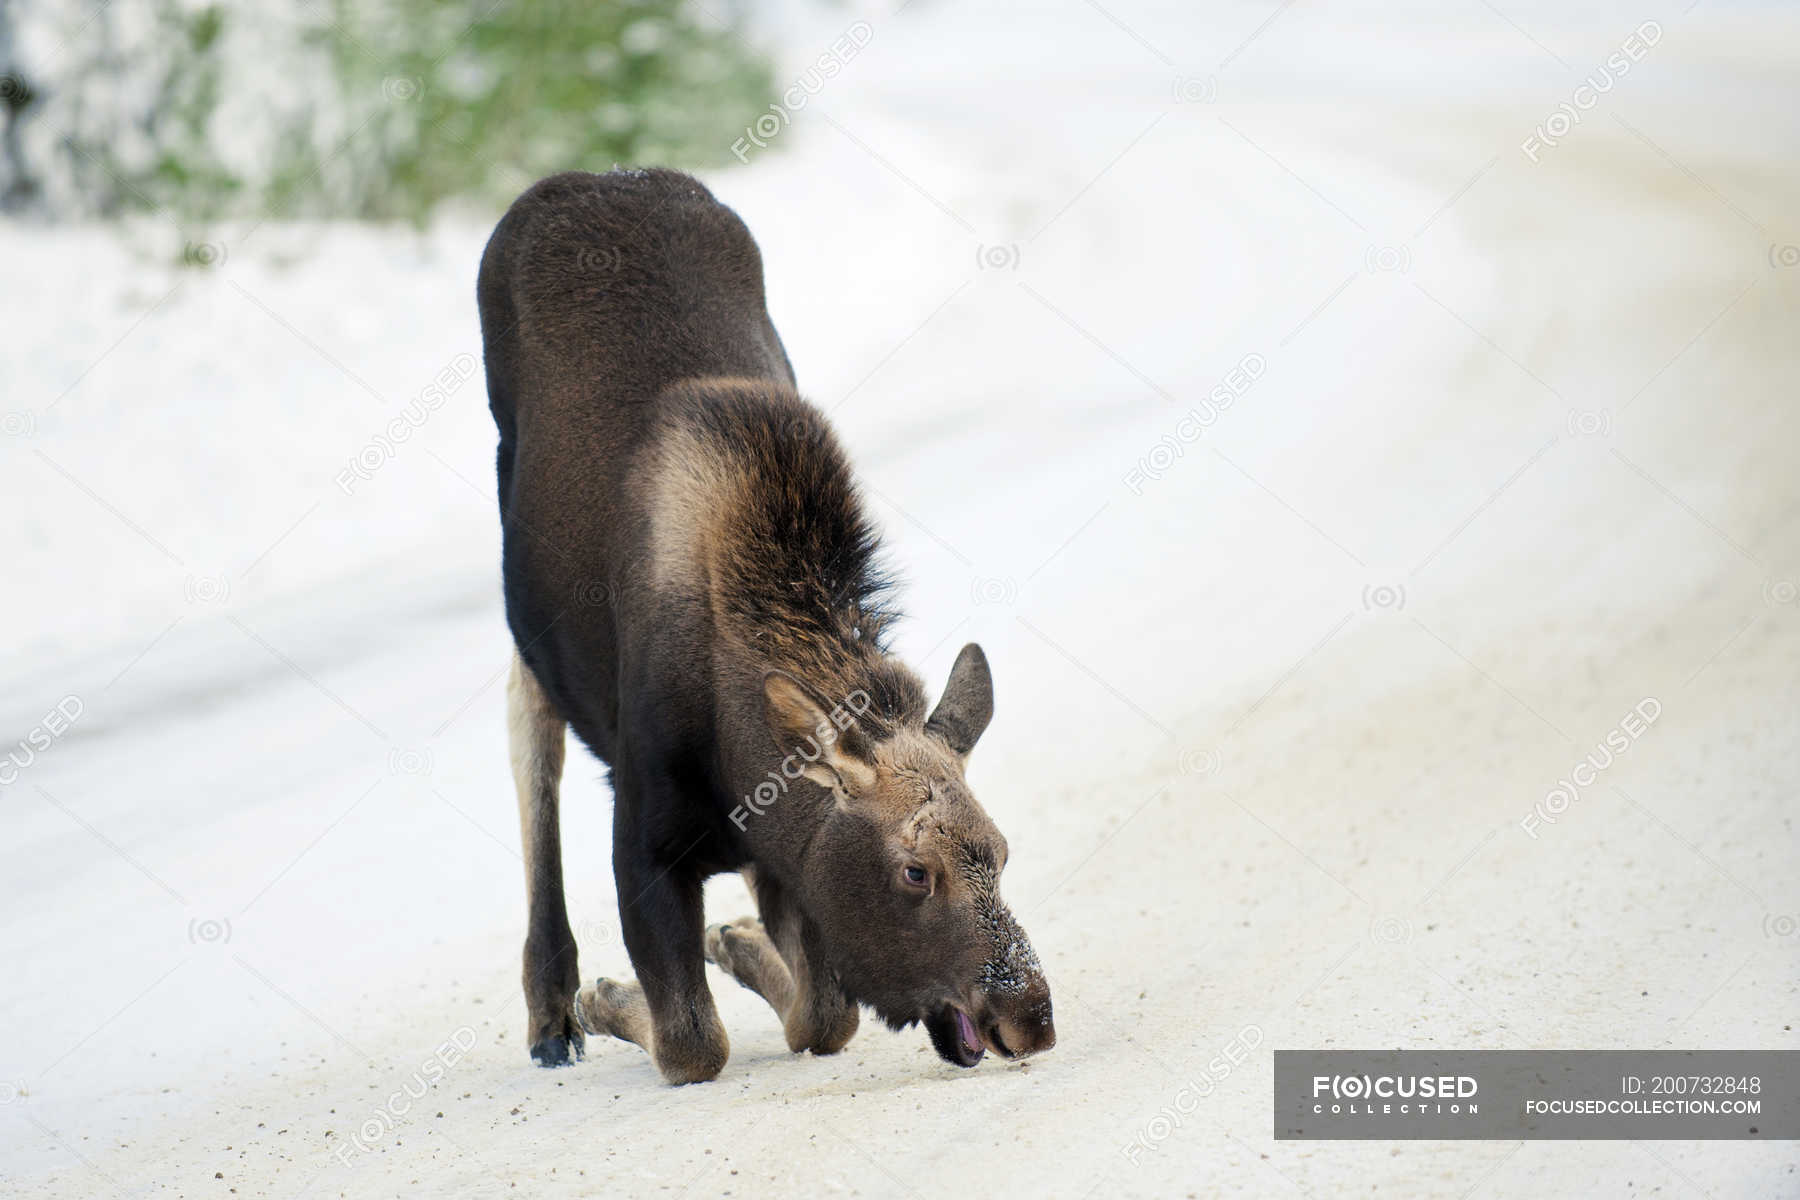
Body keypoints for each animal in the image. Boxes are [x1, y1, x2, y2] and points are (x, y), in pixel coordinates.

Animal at [478, 164, 1051, 1086]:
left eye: (998, 852)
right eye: (915, 872)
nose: (1030, 1016)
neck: (735, 749)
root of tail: (586, 178)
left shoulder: (788, 860)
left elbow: (823, 1015)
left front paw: (739, 944)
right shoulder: (643, 839)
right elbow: (693, 1040)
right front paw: (608, 1000)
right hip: (521, 589)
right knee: (531, 728)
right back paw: (552, 1009)